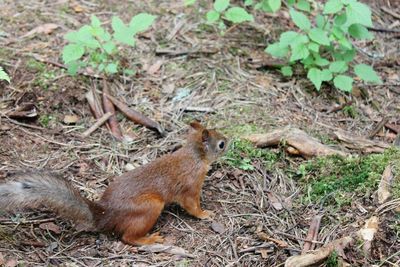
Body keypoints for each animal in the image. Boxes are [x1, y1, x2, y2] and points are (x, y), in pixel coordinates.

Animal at [0, 122, 228, 246]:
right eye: (221, 144)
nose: (230, 140)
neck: (195, 156)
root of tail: (105, 213)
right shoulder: (191, 186)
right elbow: (191, 205)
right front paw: (205, 214)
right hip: (150, 207)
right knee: (128, 237)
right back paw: (149, 240)